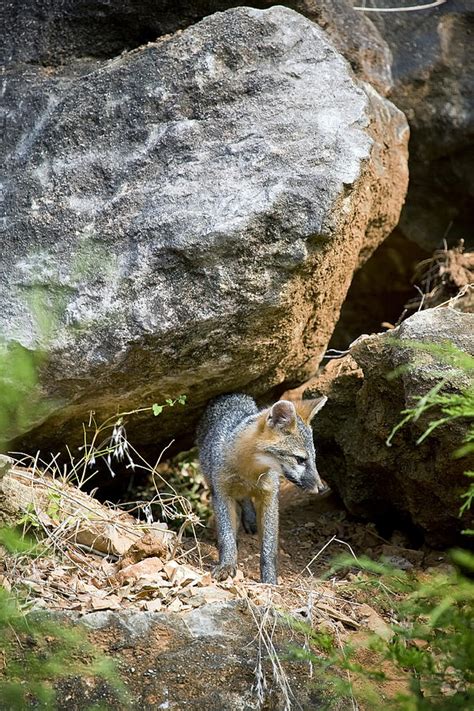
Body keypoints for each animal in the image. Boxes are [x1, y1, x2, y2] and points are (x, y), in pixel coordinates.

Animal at [195, 394, 326, 584]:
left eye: (314, 459)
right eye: (300, 459)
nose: (322, 488)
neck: (249, 473)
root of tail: (231, 395)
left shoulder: (269, 497)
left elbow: (269, 548)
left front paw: (270, 580)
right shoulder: (221, 493)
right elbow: (226, 536)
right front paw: (227, 565)